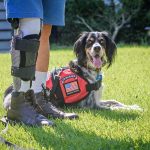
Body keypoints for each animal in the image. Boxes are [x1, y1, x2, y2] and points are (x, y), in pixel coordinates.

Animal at [3, 31, 142, 110]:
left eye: (102, 41)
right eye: (89, 42)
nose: (97, 48)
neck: (88, 69)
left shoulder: (98, 99)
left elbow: (115, 102)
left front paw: (133, 106)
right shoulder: (93, 106)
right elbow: (115, 108)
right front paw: (132, 110)